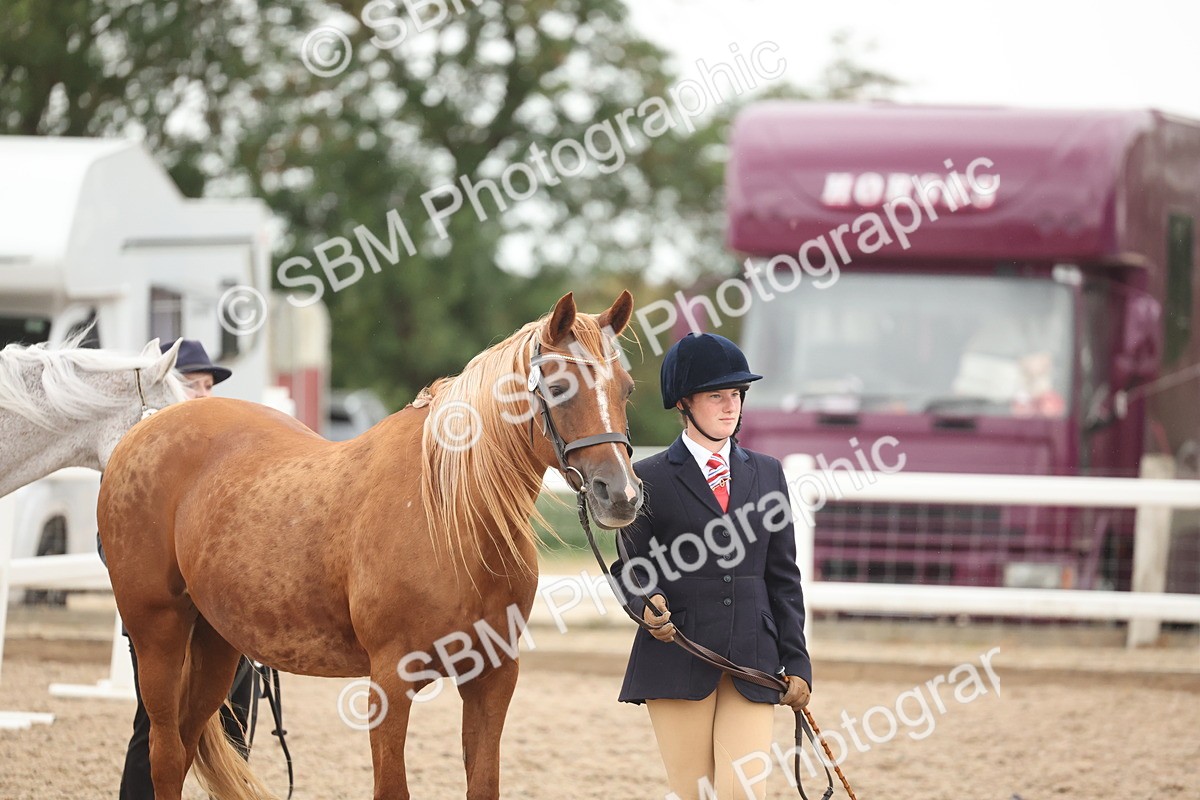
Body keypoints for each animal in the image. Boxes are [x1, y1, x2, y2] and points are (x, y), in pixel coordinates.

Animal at [98, 290, 643, 799]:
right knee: (165, 755)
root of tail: (139, 434)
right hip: (158, 636)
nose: (620, 495)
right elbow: (391, 787)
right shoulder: (390, 682)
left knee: (186, 743)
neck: (450, 516)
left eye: (627, 388)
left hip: (216, 643)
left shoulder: (493, 678)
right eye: (557, 386)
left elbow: (483, 783)